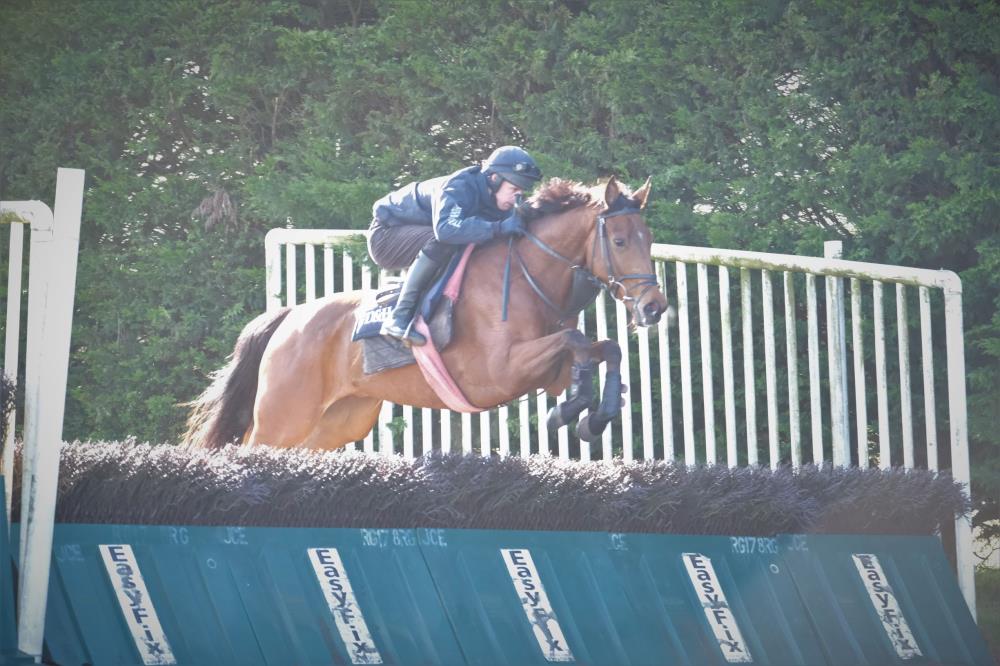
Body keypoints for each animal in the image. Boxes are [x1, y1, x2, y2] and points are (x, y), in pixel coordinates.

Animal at [183, 176, 669, 451]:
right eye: (620, 241)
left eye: (648, 238)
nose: (654, 307)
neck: (528, 274)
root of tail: (290, 318)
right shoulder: (498, 372)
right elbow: (578, 341)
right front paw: (572, 412)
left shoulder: (548, 371)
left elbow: (602, 349)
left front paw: (592, 415)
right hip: (284, 415)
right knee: (250, 445)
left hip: (338, 422)